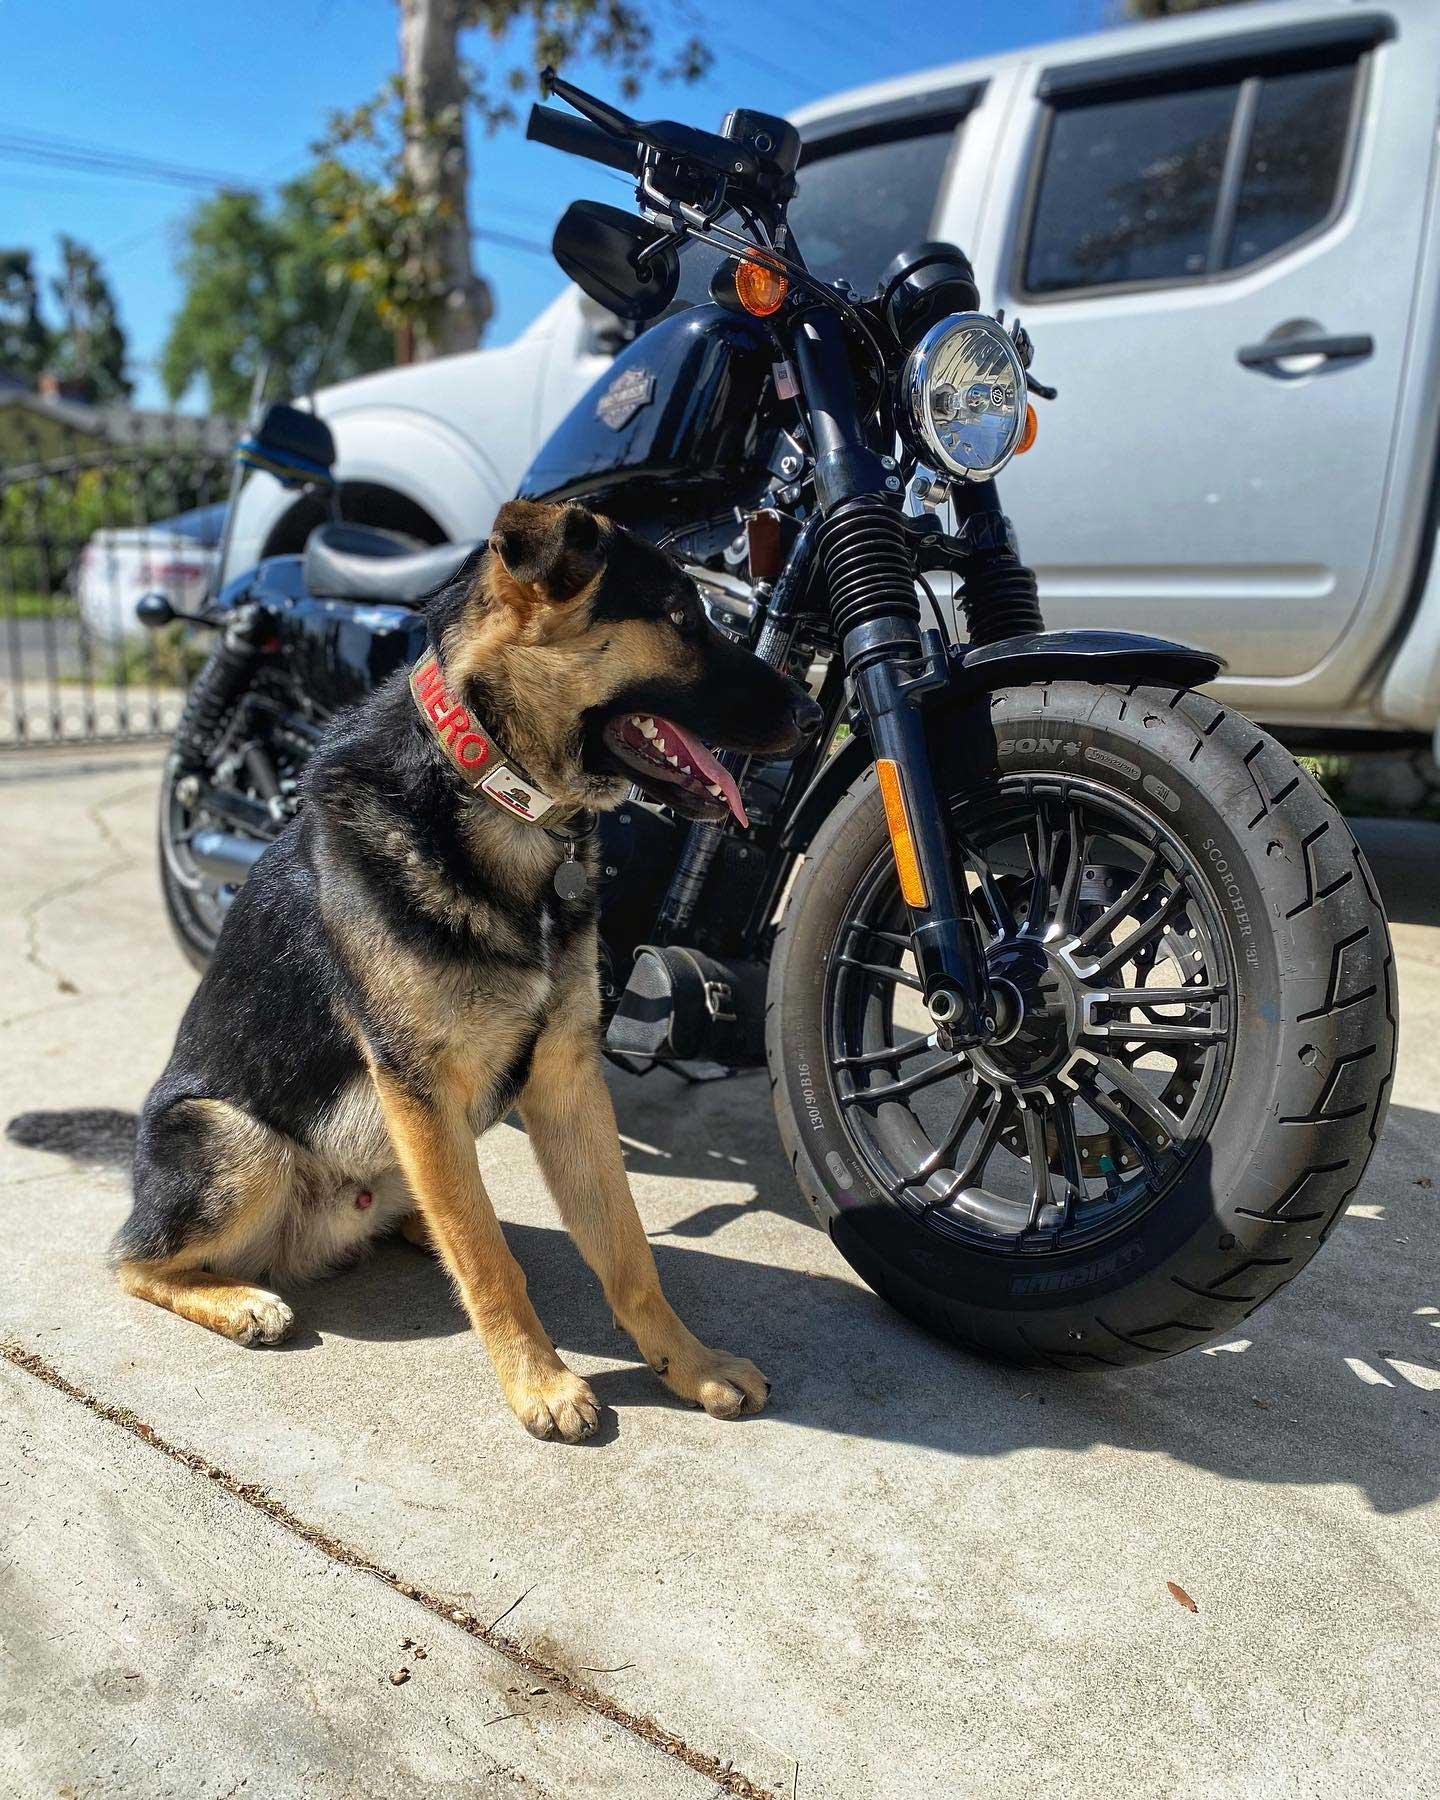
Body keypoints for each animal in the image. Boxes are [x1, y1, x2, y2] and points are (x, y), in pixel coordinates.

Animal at [117, 500, 817, 1440]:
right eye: (679, 617)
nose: (812, 714)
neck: (496, 790)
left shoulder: (565, 1075)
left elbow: (627, 1247)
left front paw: (689, 1363)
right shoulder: (418, 1082)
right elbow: (487, 1264)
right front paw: (538, 1382)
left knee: (442, 1206)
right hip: (240, 1141)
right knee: (132, 1261)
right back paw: (242, 1300)